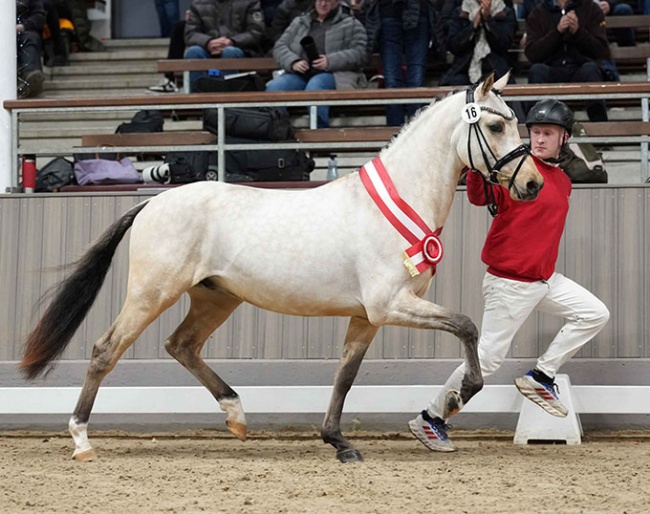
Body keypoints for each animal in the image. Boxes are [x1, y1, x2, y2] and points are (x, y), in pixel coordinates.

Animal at [20, 73, 543, 463]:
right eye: (496, 127)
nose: (534, 184)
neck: (398, 202)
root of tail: (153, 201)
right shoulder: (390, 305)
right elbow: (467, 325)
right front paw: (460, 395)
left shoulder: (367, 317)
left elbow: (345, 376)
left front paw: (339, 443)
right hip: (153, 292)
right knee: (106, 349)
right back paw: (81, 439)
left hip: (216, 297)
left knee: (181, 345)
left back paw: (236, 416)